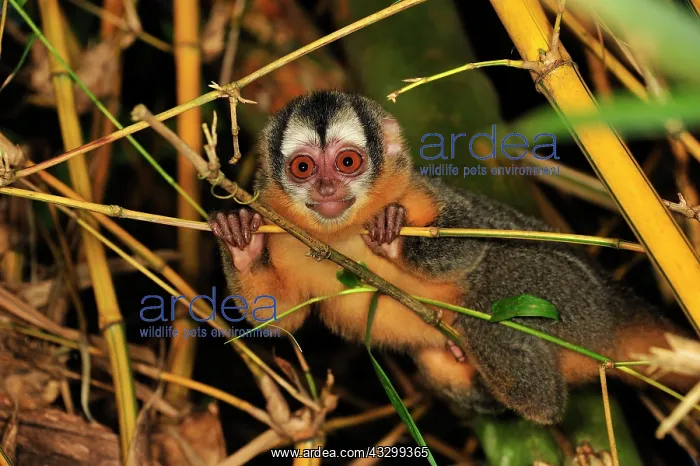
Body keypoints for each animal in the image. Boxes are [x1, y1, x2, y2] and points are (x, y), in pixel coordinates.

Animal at [209, 90, 696, 425]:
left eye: (347, 162)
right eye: (303, 168)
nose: (327, 188)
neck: (344, 232)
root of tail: (613, 307)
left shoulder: (419, 190)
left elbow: (471, 242)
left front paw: (392, 236)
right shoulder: (280, 232)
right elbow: (278, 317)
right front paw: (240, 241)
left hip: (569, 295)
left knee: (494, 296)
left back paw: (534, 398)